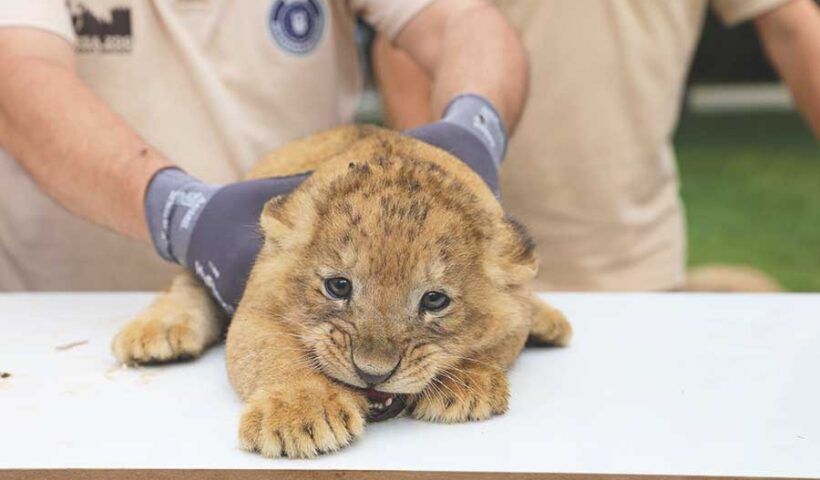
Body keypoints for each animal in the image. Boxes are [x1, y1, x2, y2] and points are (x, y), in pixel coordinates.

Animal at [112, 125, 572, 458]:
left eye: (435, 300)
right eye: (338, 286)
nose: (373, 373)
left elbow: (502, 337)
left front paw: (467, 384)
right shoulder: (256, 307)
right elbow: (275, 354)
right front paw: (300, 412)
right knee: (189, 281)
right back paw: (156, 333)